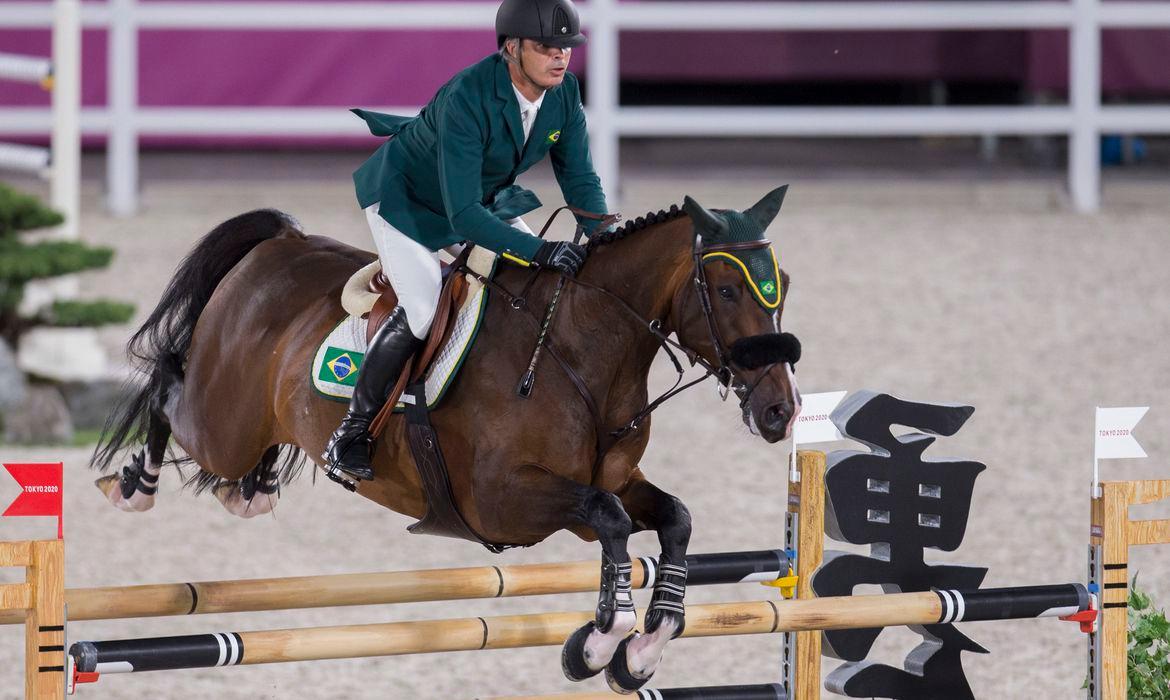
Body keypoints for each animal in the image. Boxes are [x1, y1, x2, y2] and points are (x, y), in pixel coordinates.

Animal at [91, 188, 804, 697]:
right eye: (727, 289)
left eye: (785, 287)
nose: (781, 412)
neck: (580, 351)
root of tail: (279, 245)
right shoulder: (505, 501)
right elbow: (612, 522)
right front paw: (601, 643)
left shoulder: (605, 485)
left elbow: (669, 520)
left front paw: (644, 649)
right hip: (221, 424)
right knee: (169, 387)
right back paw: (134, 485)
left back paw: (255, 490)